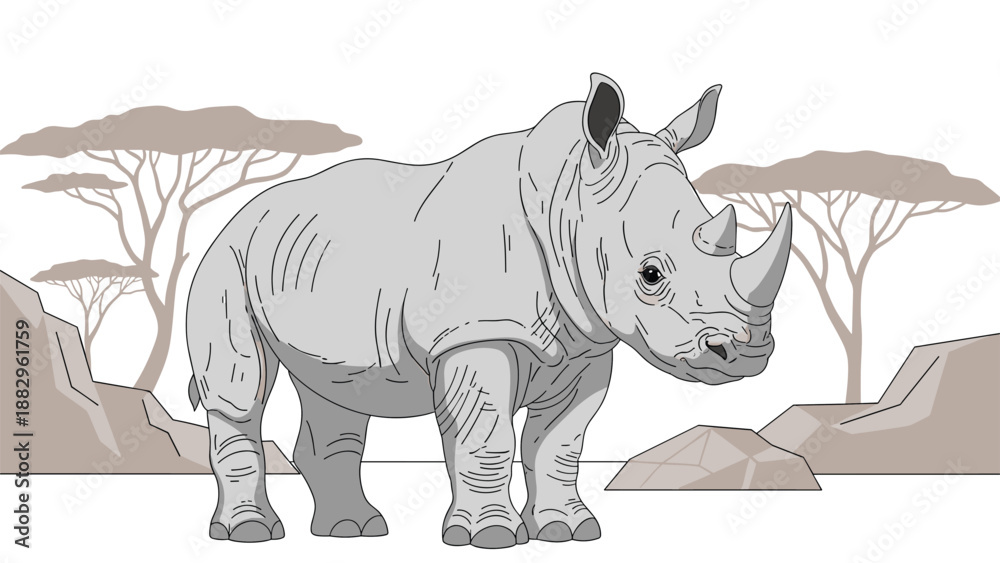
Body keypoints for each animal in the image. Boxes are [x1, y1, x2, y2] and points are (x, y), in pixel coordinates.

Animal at [185, 73, 792, 547]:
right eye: (650, 275)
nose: (744, 354)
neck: (566, 202)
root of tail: (237, 214)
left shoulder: (587, 344)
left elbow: (560, 443)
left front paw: (567, 532)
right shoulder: (472, 333)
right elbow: (486, 434)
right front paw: (488, 537)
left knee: (336, 393)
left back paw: (352, 531)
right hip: (224, 261)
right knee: (240, 389)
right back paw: (250, 534)